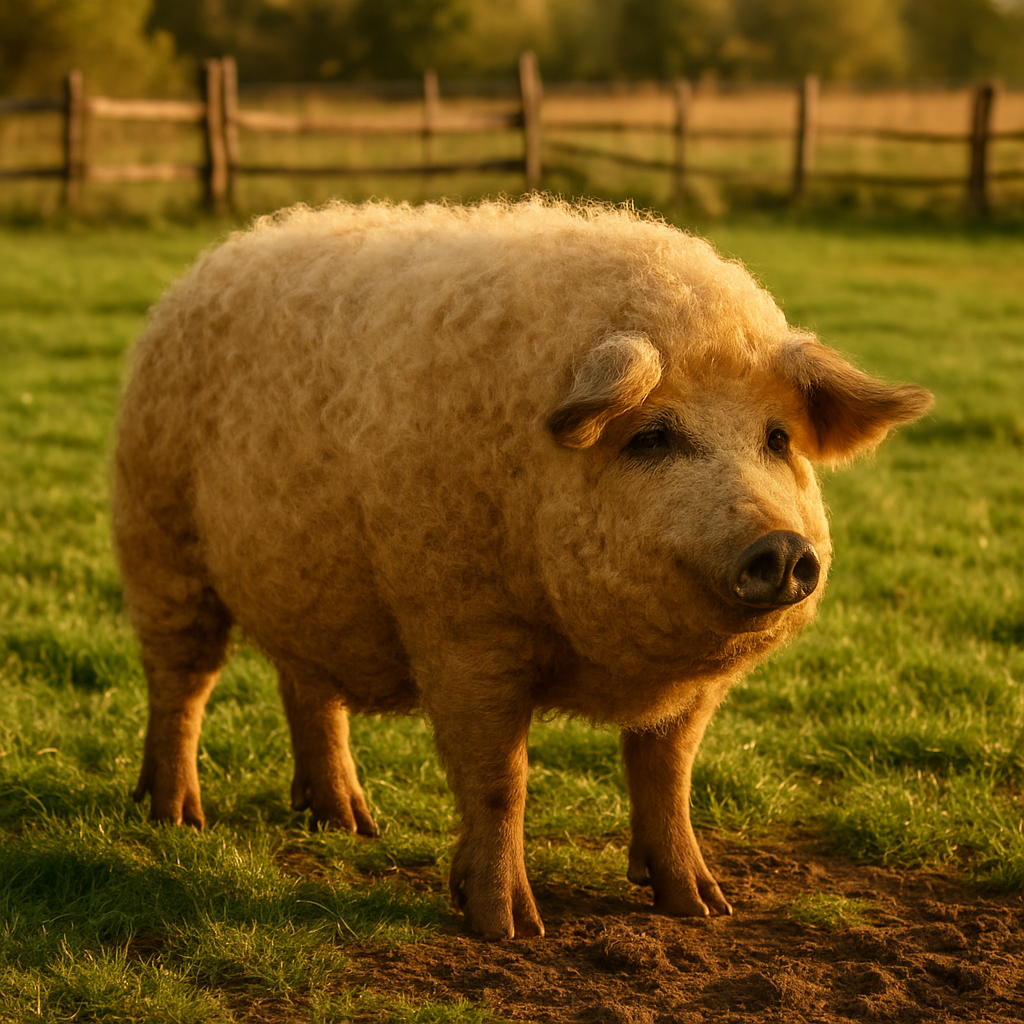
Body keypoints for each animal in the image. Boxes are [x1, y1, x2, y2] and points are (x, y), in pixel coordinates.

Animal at [112, 197, 933, 940]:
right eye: (652, 437)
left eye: (778, 438)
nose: (784, 547)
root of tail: (213, 261)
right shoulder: (462, 626)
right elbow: (501, 777)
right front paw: (510, 928)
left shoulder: (692, 690)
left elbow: (669, 771)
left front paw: (701, 908)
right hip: (158, 536)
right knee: (182, 682)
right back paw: (177, 818)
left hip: (309, 584)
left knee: (306, 686)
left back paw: (350, 825)